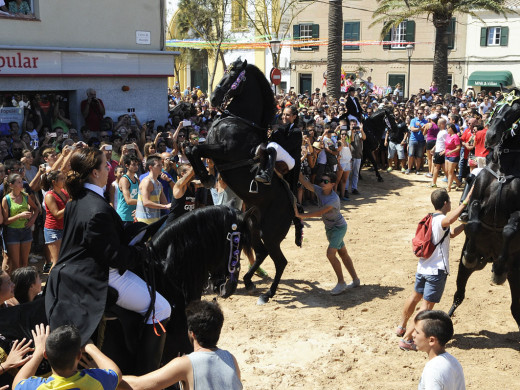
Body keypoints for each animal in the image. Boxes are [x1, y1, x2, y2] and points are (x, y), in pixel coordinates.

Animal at [186, 59, 298, 306]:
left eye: (232, 76)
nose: (212, 98)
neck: (238, 120)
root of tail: (292, 206)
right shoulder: (213, 150)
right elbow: (191, 149)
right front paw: (205, 176)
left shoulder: (225, 151)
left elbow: (195, 149)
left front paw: (205, 176)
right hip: (255, 228)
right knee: (263, 253)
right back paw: (247, 280)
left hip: (271, 233)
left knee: (280, 261)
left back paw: (267, 293)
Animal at [446, 88, 520, 330]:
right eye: (499, 104)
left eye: (516, 109)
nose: (491, 136)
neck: (505, 169)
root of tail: (487, 257)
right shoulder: (476, 201)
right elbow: (475, 223)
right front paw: (469, 253)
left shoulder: (518, 214)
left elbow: (509, 229)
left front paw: (498, 270)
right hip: (465, 271)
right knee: (459, 294)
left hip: (516, 274)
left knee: (516, 309)